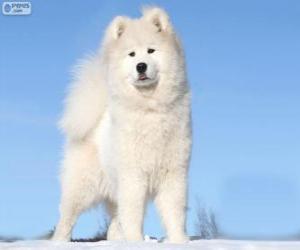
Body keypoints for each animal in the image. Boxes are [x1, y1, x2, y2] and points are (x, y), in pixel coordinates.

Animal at [52, 7, 191, 244]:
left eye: (151, 50)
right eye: (132, 54)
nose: (141, 66)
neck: (149, 108)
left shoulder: (173, 174)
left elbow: (174, 214)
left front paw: (179, 242)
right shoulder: (133, 177)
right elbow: (133, 215)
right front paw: (136, 241)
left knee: (113, 225)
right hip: (82, 187)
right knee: (66, 218)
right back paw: (58, 242)